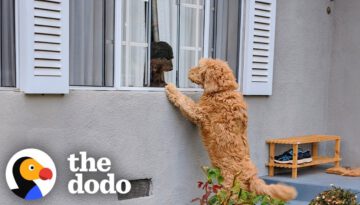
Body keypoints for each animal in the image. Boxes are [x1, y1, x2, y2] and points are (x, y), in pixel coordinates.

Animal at [165, 58, 296, 202]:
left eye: (199, 67)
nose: (188, 70)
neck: (223, 90)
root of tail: (253, 176)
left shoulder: (198, 113)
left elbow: (184, 101)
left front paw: (171, 88)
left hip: (230, 190)